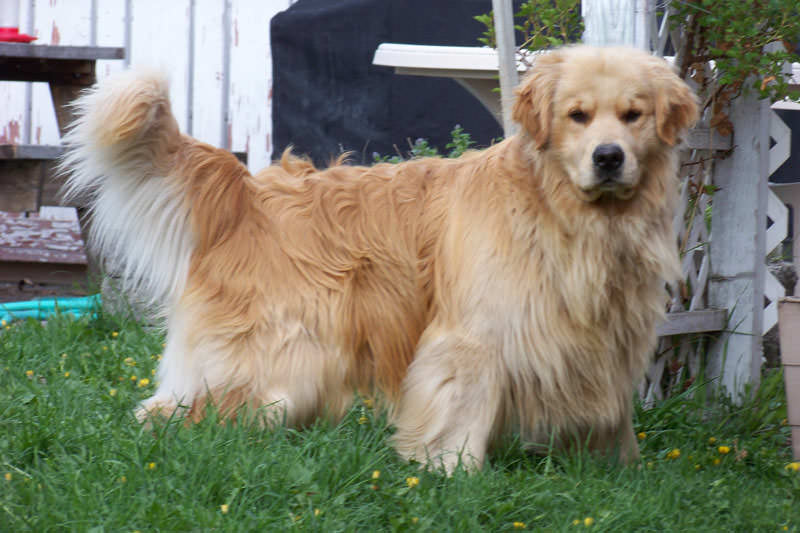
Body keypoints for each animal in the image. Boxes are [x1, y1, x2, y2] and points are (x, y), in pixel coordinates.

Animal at [64, 45, 692, 470]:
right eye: (577, 116)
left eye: (633, 115)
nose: (608, 158)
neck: (565, 214)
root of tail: (247, 191)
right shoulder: (472, 338)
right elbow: (460, 414)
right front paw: (451, 475)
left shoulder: (603, 341)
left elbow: (613, 419)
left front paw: (620, 472)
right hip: (280, 365)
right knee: (175, 410)